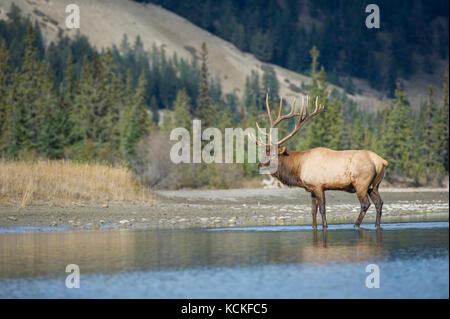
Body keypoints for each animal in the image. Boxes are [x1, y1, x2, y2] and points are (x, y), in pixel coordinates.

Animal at [251, 95, 388, 230]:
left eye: (272, 154)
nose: (259, 165)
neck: (298, 168)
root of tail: (382, 161)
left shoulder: (318, 186)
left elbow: (322, 209)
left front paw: (325, 226)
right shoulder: (311, 189)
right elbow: (313, 211)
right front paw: (314, 227)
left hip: (361, 183)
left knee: (365, 204)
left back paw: (356, 225)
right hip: (374, 185)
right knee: (379, 203)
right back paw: (376, 225)